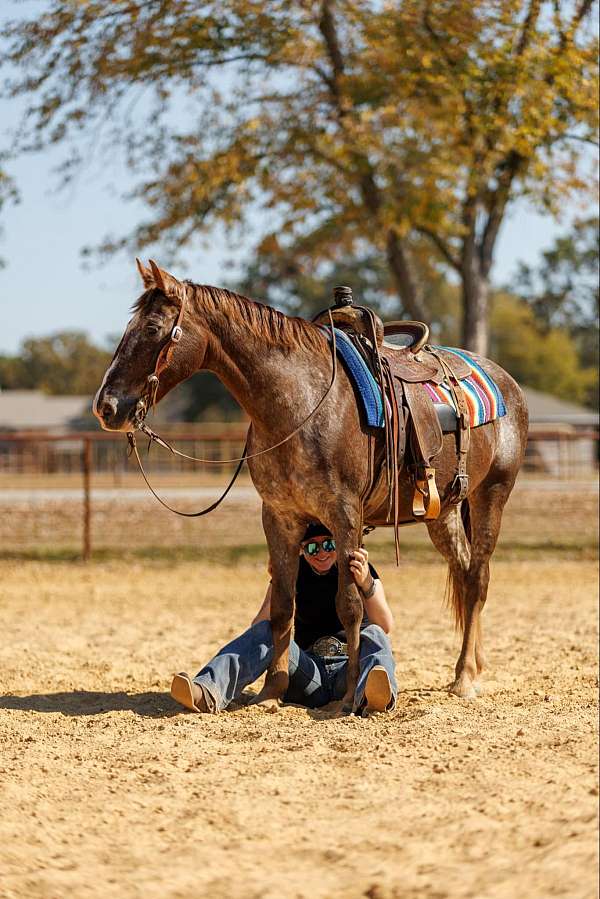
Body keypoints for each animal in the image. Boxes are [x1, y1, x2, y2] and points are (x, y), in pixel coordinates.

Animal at [91, 258, 528, 712]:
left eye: (152, 329)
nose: (106, 407)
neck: (301, 401)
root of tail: (504, 381)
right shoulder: (279, 517)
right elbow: (283, 607)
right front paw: (272, 692)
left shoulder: (344, 514)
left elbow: (350, 605)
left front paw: (348, 696)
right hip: (443, 512)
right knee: (463, 571)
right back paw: (473, 665)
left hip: (491, 495)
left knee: (477, 578)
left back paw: (464, 678)